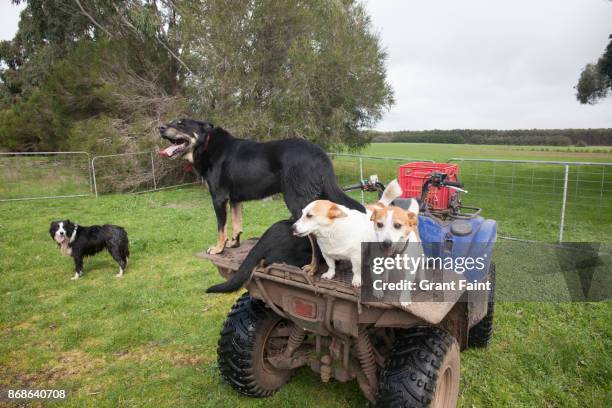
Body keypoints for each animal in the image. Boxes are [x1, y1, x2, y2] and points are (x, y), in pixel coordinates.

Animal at [159, 116, 364, 255]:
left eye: (181, 123)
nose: (159, 127)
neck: (207, 144)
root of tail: (320, 154)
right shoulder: (235, 200)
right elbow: (237, 225)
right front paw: (234, 244)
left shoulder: (219, 199)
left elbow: (221, 228)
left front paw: (219, 248)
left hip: (297, 199)